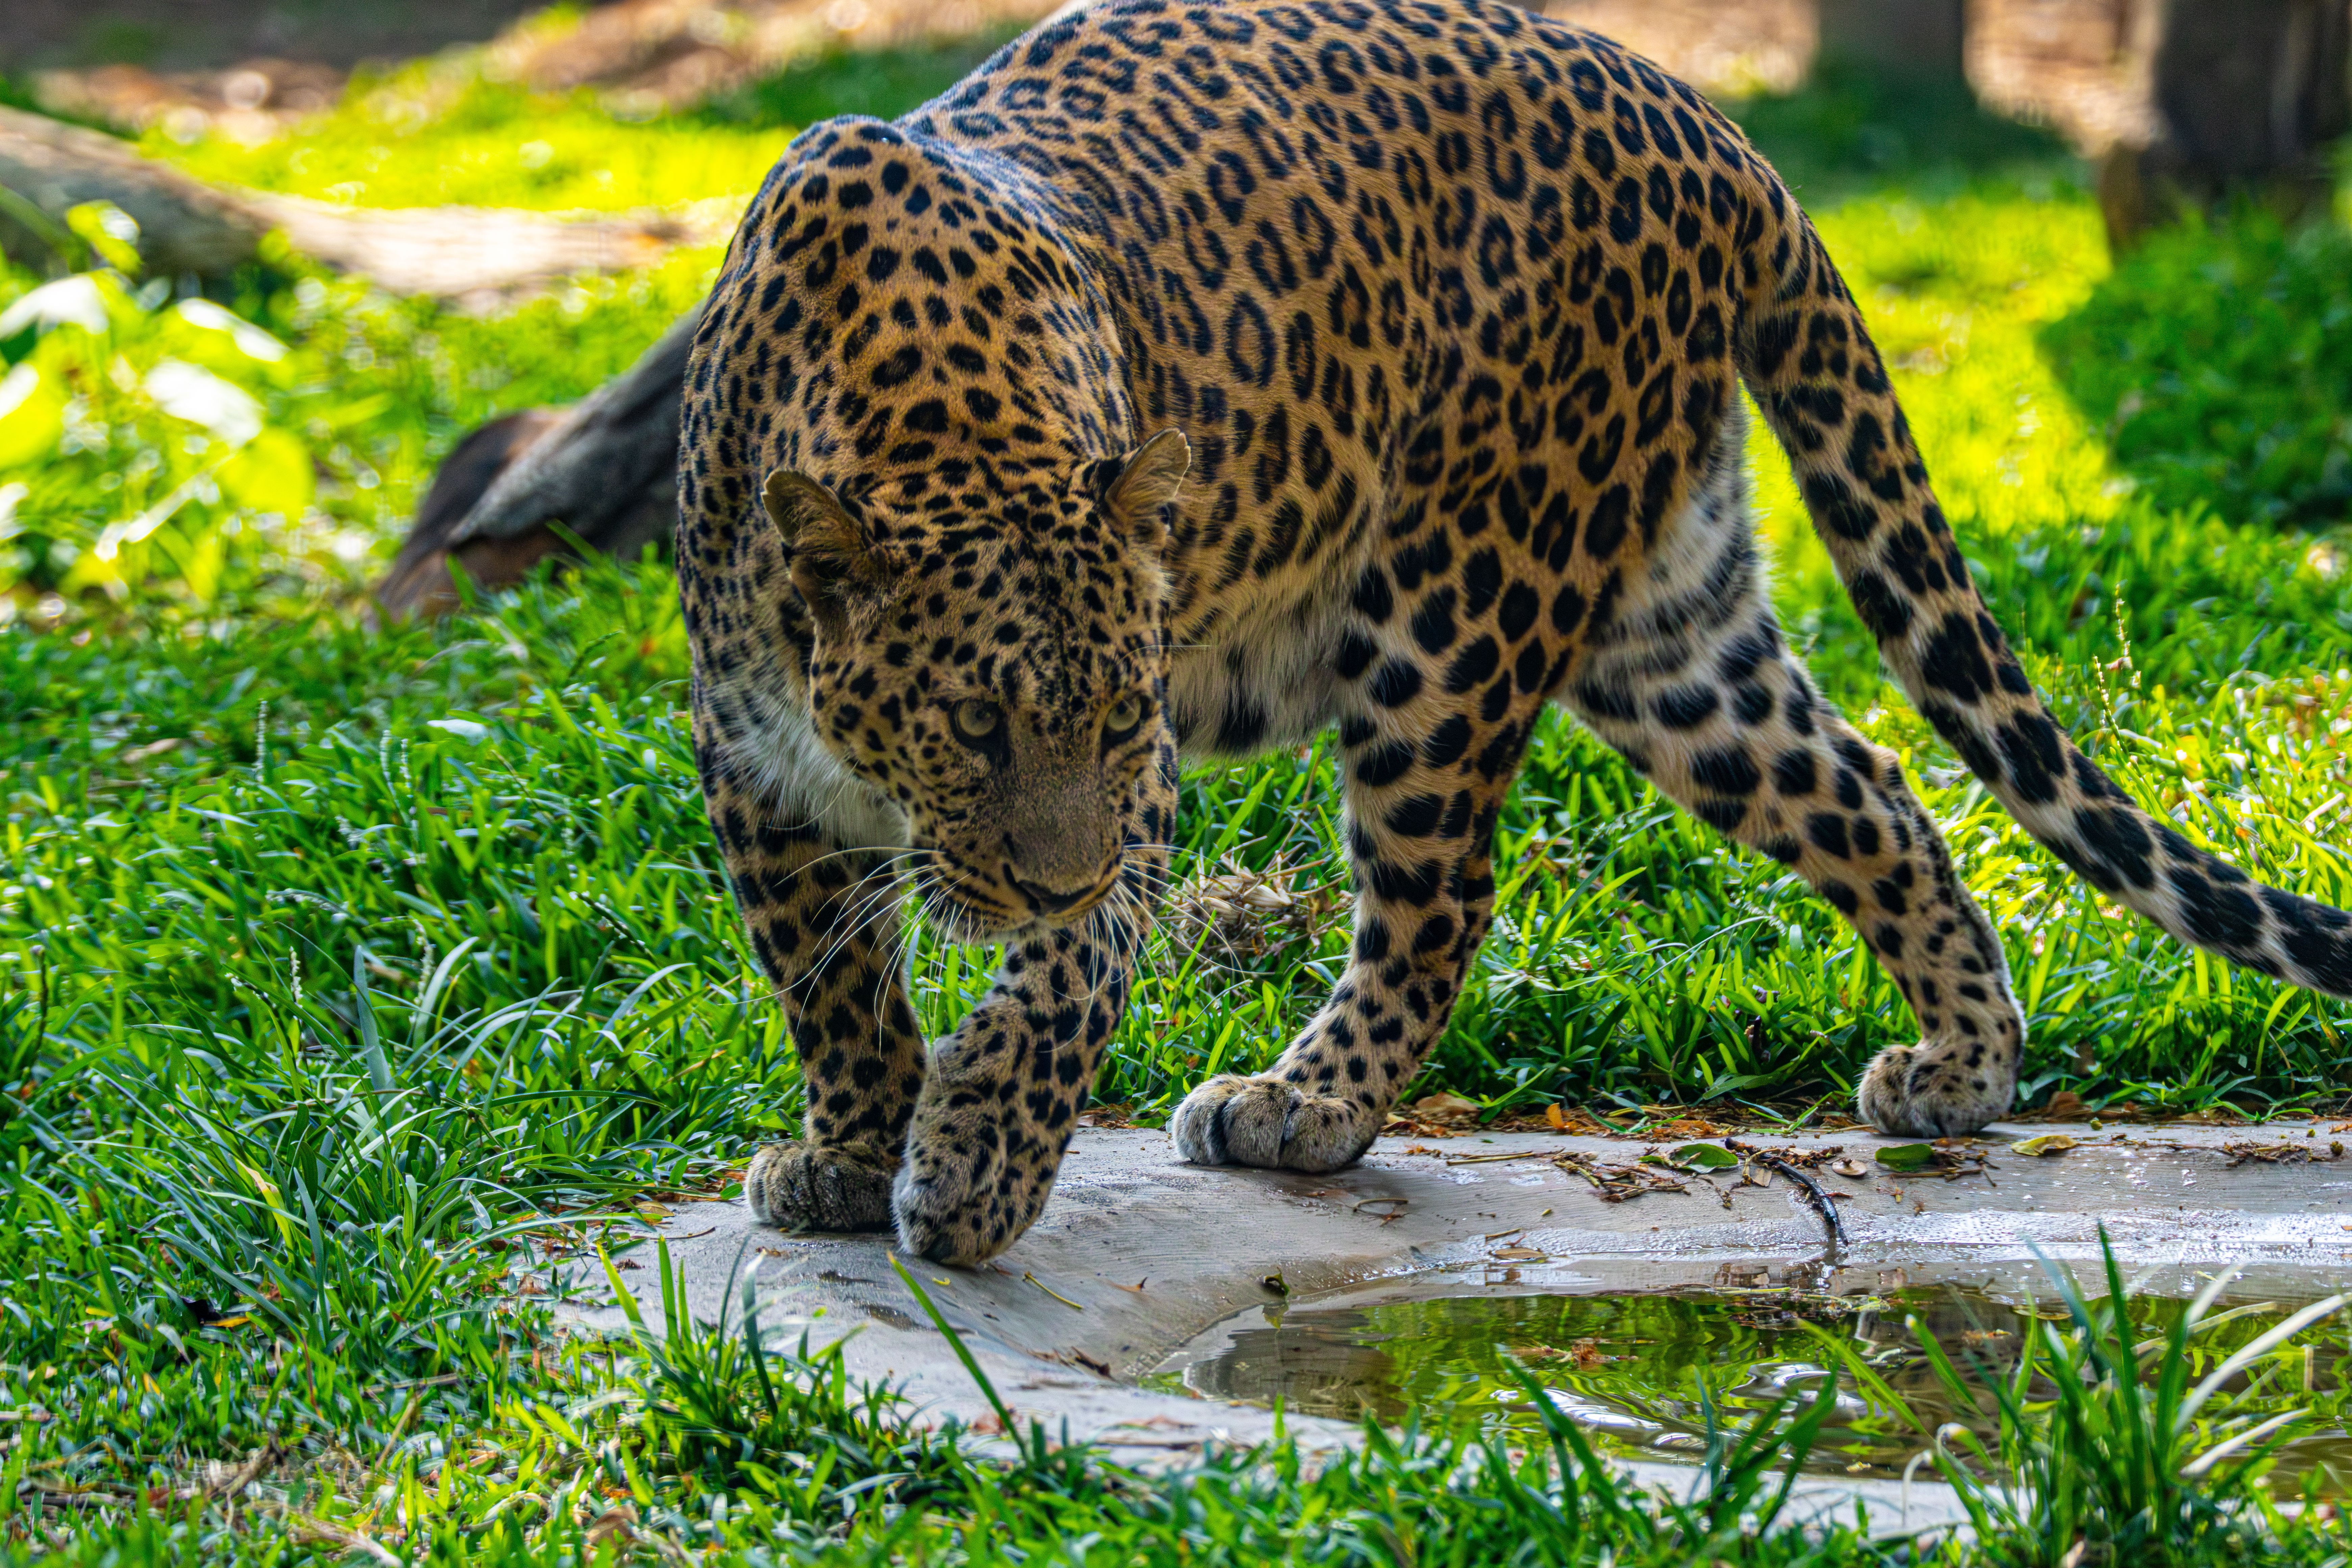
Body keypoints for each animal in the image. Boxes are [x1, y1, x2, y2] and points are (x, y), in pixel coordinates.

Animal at [675, 0, 2352, 1267]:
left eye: (1103, 720)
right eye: (971, 724)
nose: (1052, 869)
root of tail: (1697, 112)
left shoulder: (1133, 786)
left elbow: (1059, 982)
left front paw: (967, 1171)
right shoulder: (751, 761)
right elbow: (829, 984)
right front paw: (847, 1153)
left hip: (1458, 607)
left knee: (1440, 907)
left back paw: (1299, 1107)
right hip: (1673, 638)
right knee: (1869, 789)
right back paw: (1961, 1068)